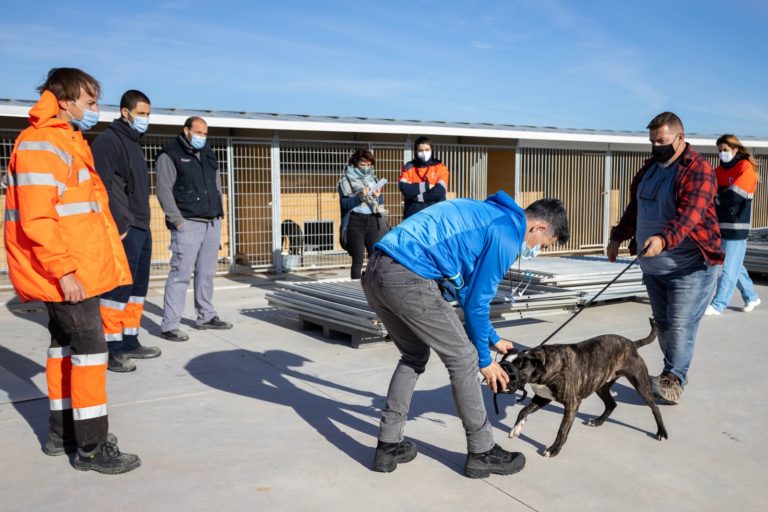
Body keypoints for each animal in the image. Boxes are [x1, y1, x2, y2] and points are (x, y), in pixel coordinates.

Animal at [508, 318, 664, 458]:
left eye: (515, 369)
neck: (543, 363)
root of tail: (632, 344)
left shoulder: (572, 404)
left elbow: (562, 430)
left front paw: (554, 449)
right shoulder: (542, 397)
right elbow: (523, 411)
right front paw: (517, 428)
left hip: (641, 385)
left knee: (655, 407)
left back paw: (662, 432)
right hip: (601, 386)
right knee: (611, 404)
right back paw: (597, 422)